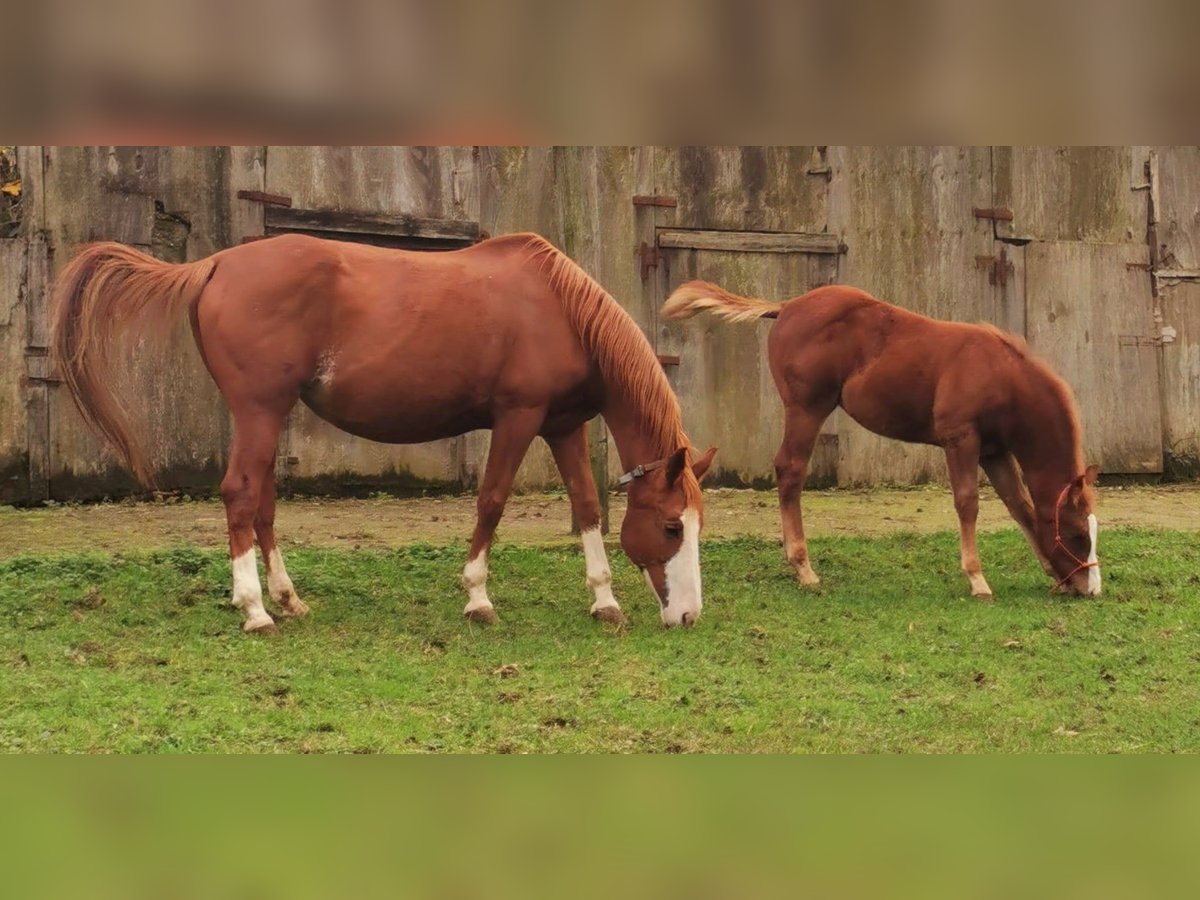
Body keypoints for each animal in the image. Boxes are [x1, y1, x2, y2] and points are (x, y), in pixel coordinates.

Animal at [51, 236, 710, 638]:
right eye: (671, 527)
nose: (688, 615)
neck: (560, 310)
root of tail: (215, 264)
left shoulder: (563, 424)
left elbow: (588, 506)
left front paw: (604, 601)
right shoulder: (518, 418)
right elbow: (492, 501)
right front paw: (478, 599)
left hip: (270, 416)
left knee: (262, 501)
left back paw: (287, 598)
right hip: (259, 410)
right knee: (240, 493)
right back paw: (255, 609)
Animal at [662, 282, 1099, 600]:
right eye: (1078, 535)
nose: (1089, 589)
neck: (1000, 374)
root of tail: (787, 306)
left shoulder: (993, 450)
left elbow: (1019, 505)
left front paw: (1049, 570)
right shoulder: (961, 439)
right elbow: (968, 503)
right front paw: (977, 580)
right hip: (807, 408)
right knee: (790, 470)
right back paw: (804, 568)